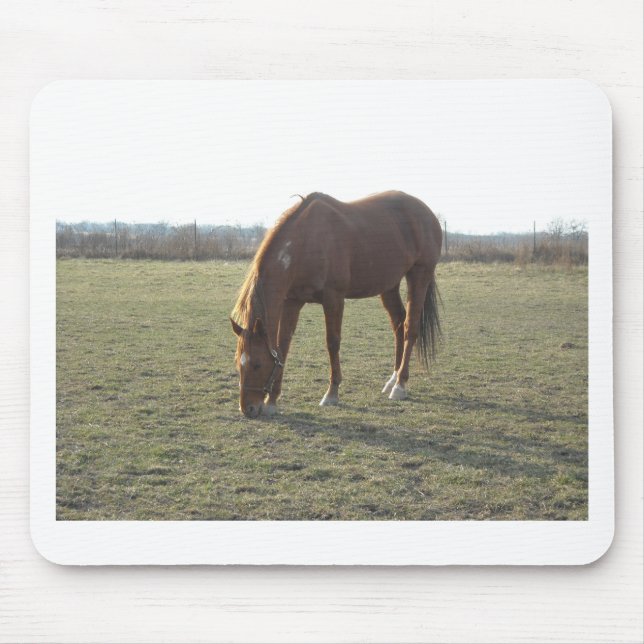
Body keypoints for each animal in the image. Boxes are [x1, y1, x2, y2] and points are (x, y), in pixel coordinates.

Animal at [230, 191, 442, 418]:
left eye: (257, 364)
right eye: (238, 363)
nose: (248, 409)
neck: (306, 241)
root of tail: (427, 213)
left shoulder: (334, 299)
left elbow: (332, 343)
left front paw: (331, 393)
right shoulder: (292, 302)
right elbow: (282, 346)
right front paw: (272, 401)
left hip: (419, 275)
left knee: (410, 328)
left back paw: (400, 386)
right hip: (390, 285)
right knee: (399, 324)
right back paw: (392, 379)